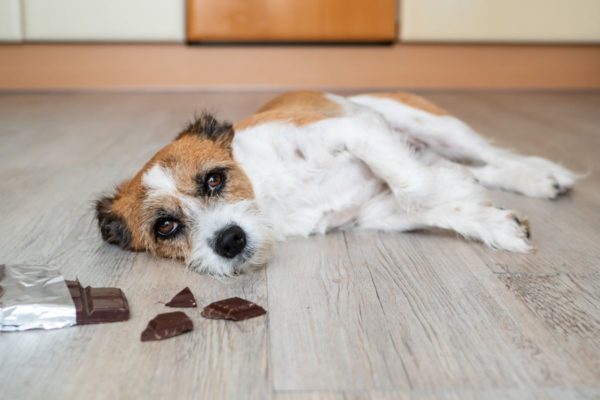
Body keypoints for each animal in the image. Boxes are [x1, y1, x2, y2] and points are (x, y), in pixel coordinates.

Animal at [95, 92, 576, 276]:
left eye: (214, 179)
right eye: (165, 227)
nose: (229, 240)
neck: (269, 193)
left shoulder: (354, 129)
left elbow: (415, 185)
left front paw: (452, 189)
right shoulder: (375, 213)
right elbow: (427, 203)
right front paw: (492, 221)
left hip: (432, 124)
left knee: (492, 155)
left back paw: (542, 175)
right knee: (480, 166)